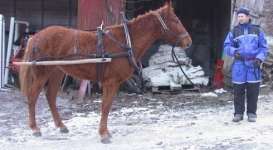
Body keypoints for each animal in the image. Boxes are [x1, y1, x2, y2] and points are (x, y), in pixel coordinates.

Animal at [19, 1, 190, 143]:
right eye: (175, 20)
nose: (189, 41)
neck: (126, 41)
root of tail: (35, 37)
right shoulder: (111, 82)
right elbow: (106, 106)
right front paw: (104, 134)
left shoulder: (113, 83)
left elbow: (107, 106)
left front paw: (105, 132)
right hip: (42, 73)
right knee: (33, 96)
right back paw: (35, 129)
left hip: (56, 72)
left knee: (50, 96)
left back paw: (61, 126)